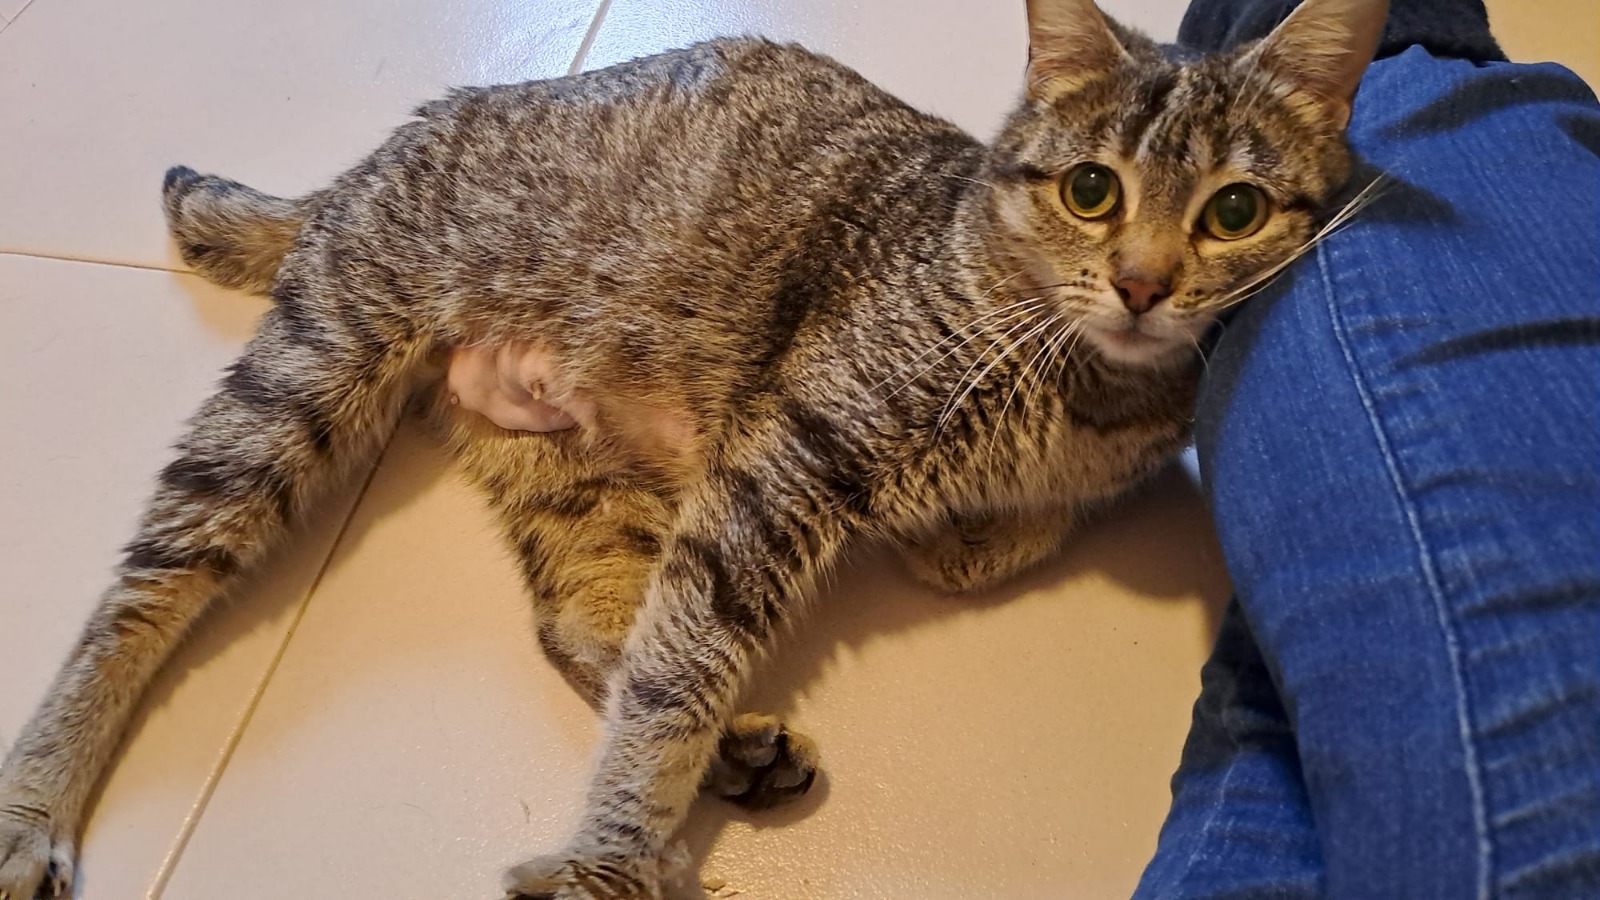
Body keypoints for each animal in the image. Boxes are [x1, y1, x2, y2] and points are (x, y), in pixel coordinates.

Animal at [0, 0, 1386, 897]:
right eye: (1092, 191)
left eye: (1234, 212)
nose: (1146, 285)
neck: (1083, 376)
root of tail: (380, 151)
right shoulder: (788, 461)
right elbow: (674, 680)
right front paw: (610, 858)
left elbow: (1025, 526)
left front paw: (978, 540)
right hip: (305, 383)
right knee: (134, 602)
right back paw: (36, 807)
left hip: (579, 479)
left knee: (591, 623)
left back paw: (736, 747)